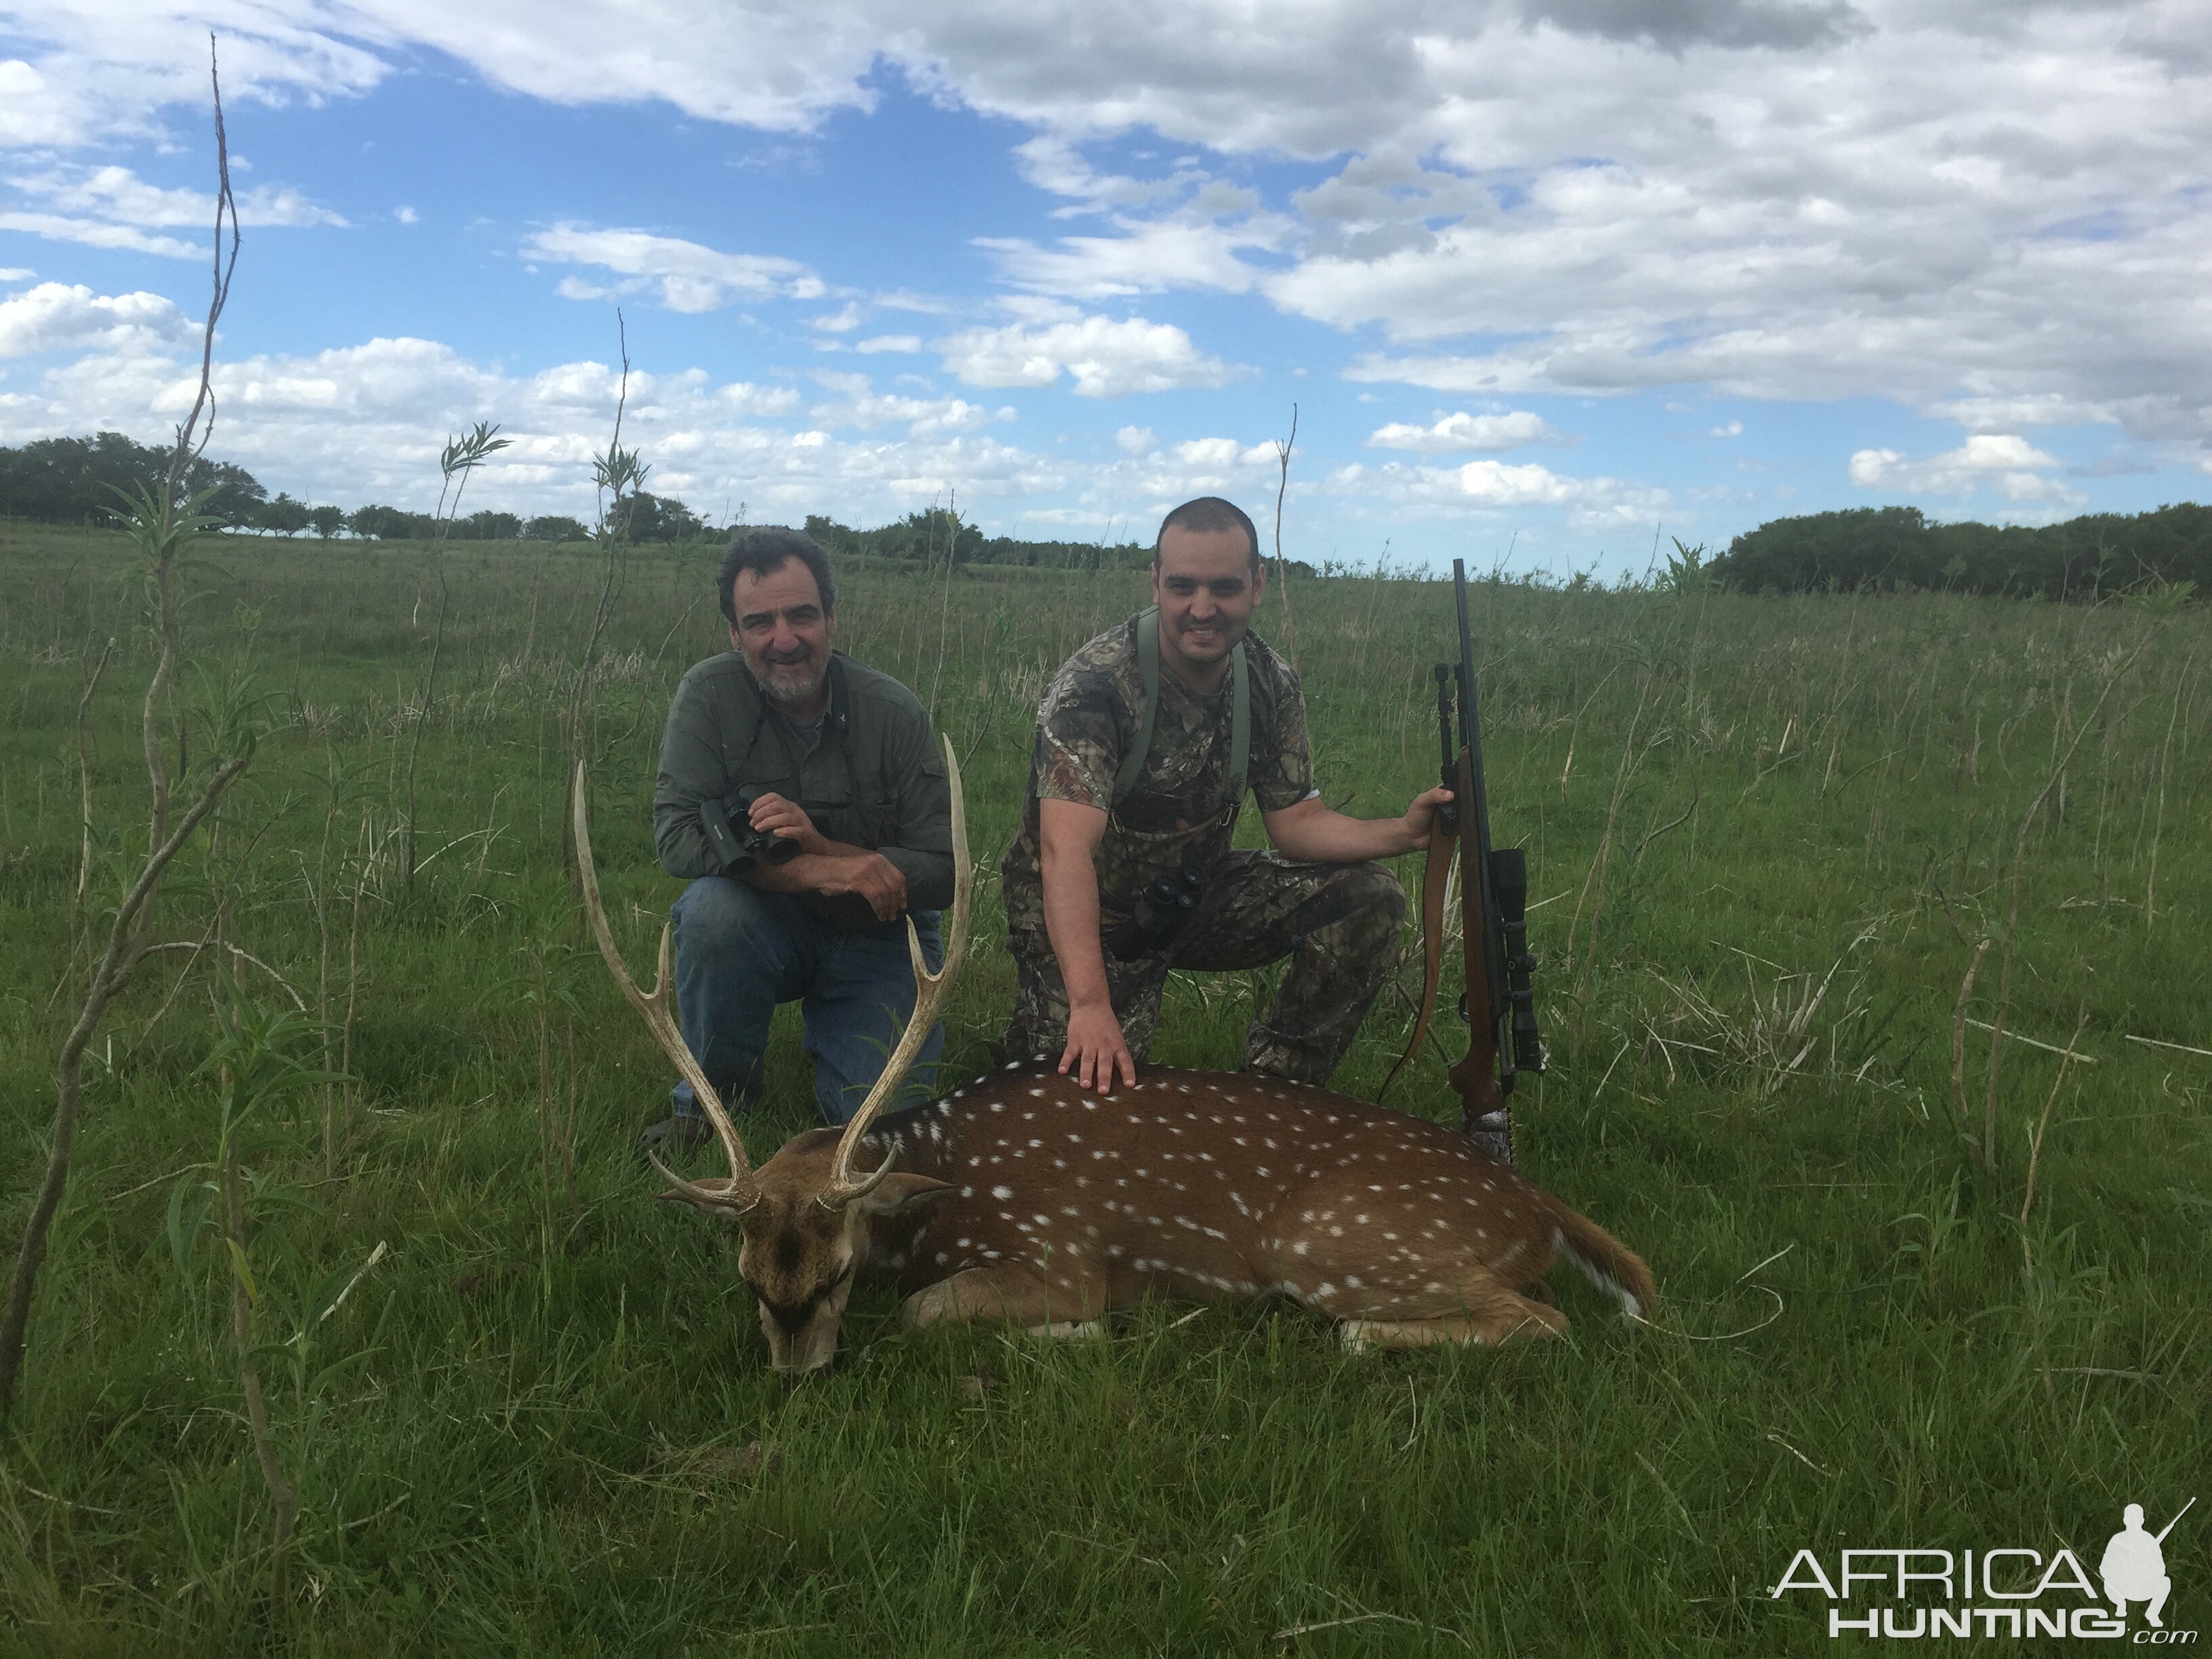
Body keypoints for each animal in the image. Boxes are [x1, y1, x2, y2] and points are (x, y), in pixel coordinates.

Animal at [579, 752, 1654, 1380]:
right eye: (750, 1276)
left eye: (840, 1267)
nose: (798, 1372)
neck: (944, 1187)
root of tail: (1538, 1207)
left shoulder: (1060, 1250)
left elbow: (930, 1310)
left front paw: (1086, 1335)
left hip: (1337, 1239)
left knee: (1536, 1319)